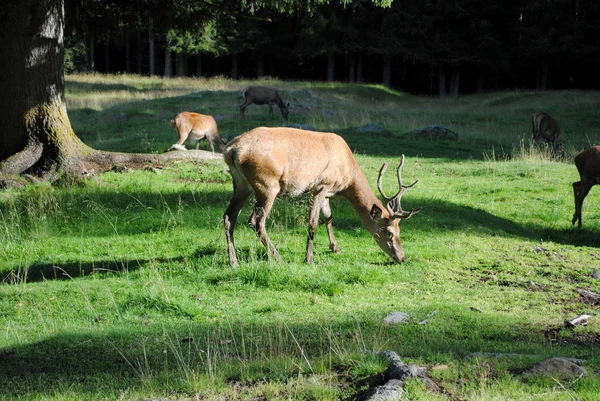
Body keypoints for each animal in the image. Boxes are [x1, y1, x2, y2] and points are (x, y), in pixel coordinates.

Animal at [221, 126, 422, 268]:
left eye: (400, 231)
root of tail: (231, 150)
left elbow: (328, 217)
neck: (347, 175)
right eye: (390, 232)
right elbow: (313, 222)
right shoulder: (321, 185)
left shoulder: (327, 191)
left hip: (241, 184)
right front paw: (309, 258)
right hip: (267, 185)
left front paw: (335, 248)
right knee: (256, 220)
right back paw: (278, 257)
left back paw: (233, 261)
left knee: (229, 217)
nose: (402, 257)